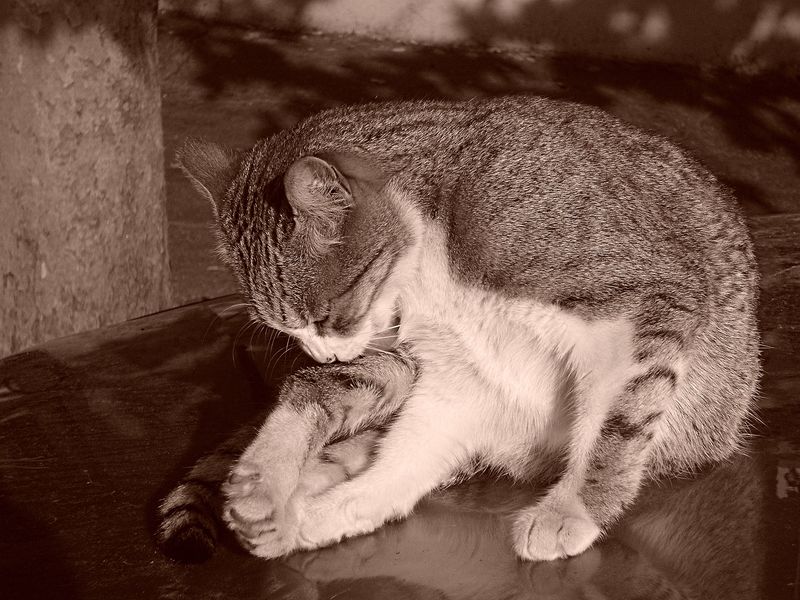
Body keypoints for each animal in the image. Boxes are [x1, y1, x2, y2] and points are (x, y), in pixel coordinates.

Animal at [155, 94, 756, 564]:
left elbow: (617, 423)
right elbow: (397, 464)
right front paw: (308, 505)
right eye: (289, 331)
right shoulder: (455, 380)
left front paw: (573, 509)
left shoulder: (641, 303)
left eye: (329, 316)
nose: (323, 355)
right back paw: (285, 486)